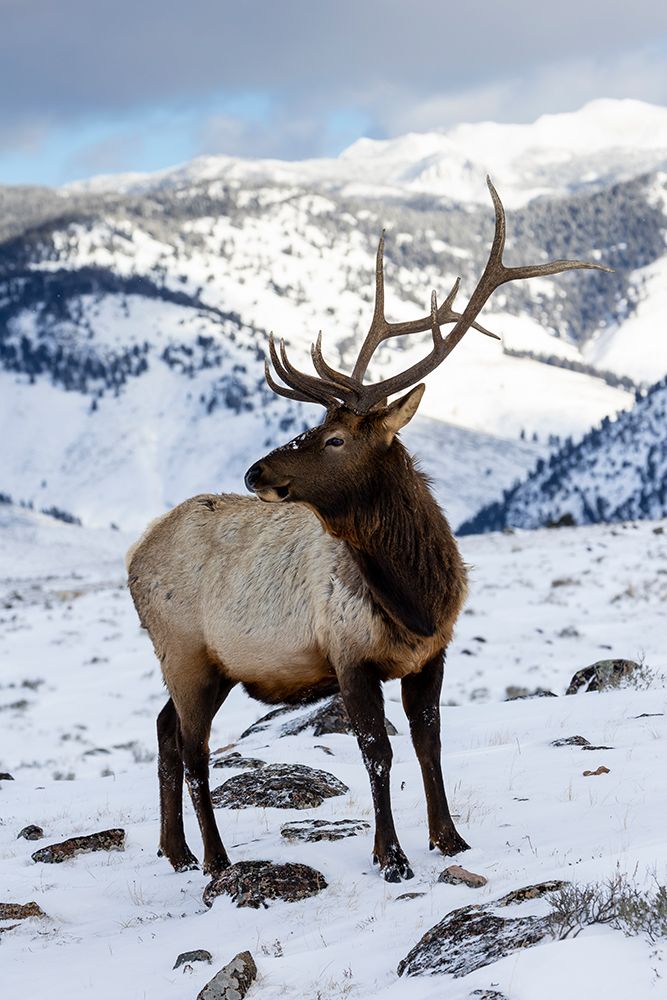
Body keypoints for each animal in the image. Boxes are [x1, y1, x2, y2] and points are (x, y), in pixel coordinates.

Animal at [126, 182, 612, 884]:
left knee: (166, 731)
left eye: (333, 437)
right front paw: (392, 856)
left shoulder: (432, 654)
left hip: (207, 666)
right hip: (184, 651)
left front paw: (450, 839)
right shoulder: (348, 655)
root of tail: (133, 556)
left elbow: (429, 742)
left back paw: (178, 851)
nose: (255, 471)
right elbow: (375, 751)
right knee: (193, 750)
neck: (416, 597)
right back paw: (218, 861)